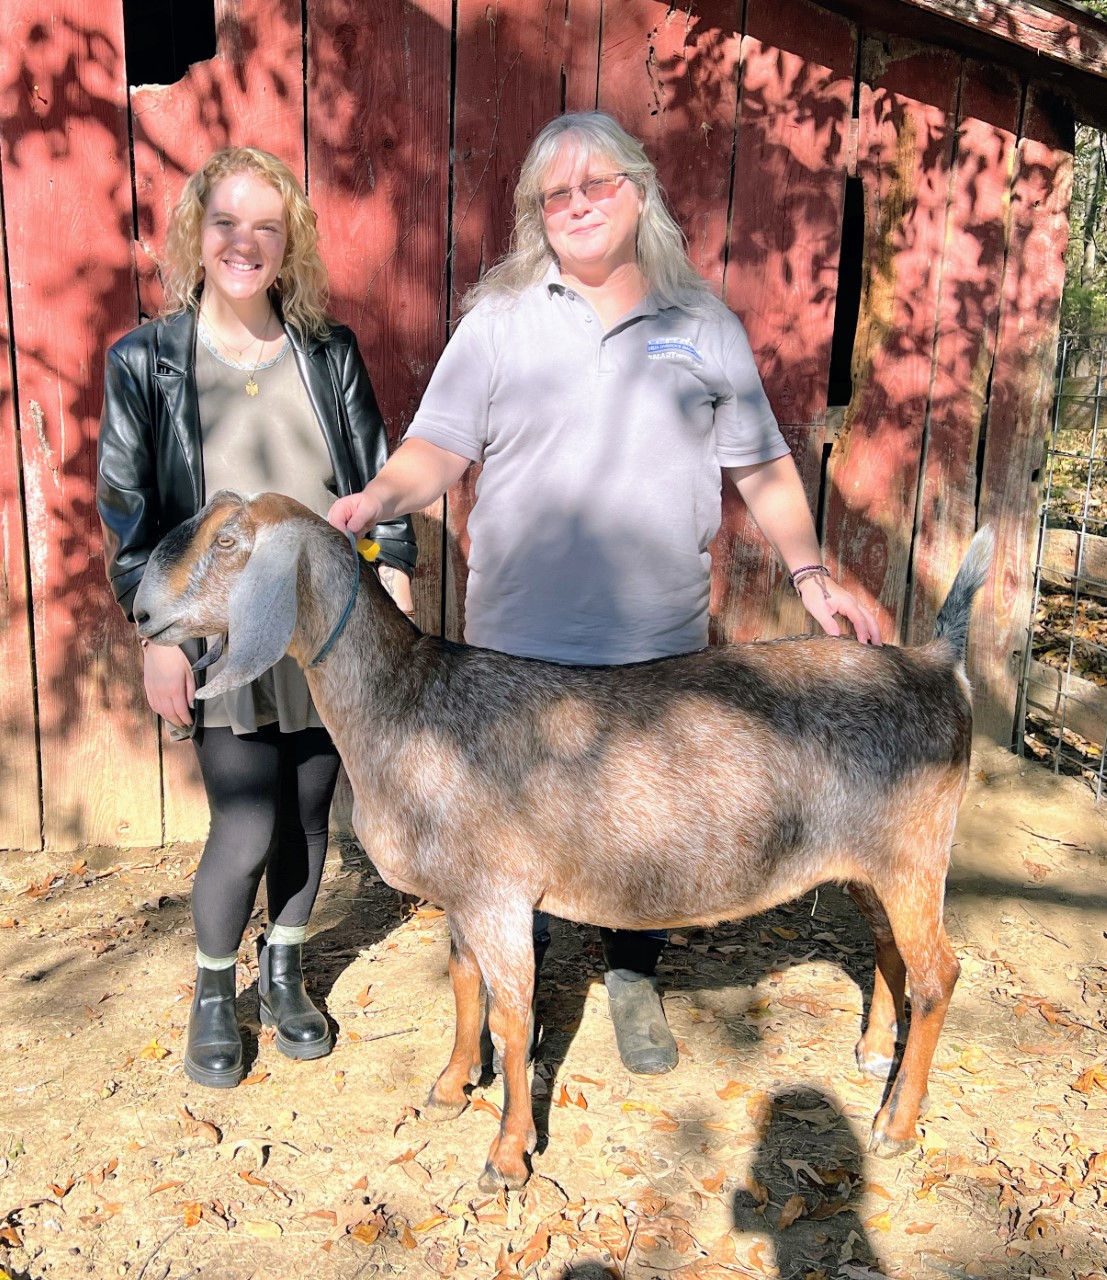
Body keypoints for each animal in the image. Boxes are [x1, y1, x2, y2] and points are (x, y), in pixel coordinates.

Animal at [136, 488, 993, 1187]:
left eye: (227, 542)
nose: (142, 617)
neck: (406, 704)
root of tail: (935, 663)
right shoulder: (463, 895)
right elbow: (465, 986)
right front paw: (451, 1086)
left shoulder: (498, 892)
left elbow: (514, 1019)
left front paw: (508, 1154)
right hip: (864, 860)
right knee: (887, 948)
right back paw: (872, 1053)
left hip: (916, 850)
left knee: (939, 973)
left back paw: (894, 1124)